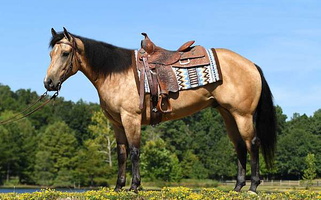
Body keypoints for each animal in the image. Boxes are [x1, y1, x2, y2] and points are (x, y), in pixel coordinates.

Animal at [43, 28, 276, 194]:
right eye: (51, 54)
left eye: (65, 53)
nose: (48, 83)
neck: (116, 73)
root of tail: (251, 64)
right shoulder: (117, 123)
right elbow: (121, 154)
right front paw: (118, 187)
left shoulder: (131, 118)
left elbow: (135, 151)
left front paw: (134, 187)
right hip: (228, 115)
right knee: (239, 146)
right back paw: (237, 187)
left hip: (243, 115)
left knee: (252, 144)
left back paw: (253, 187)